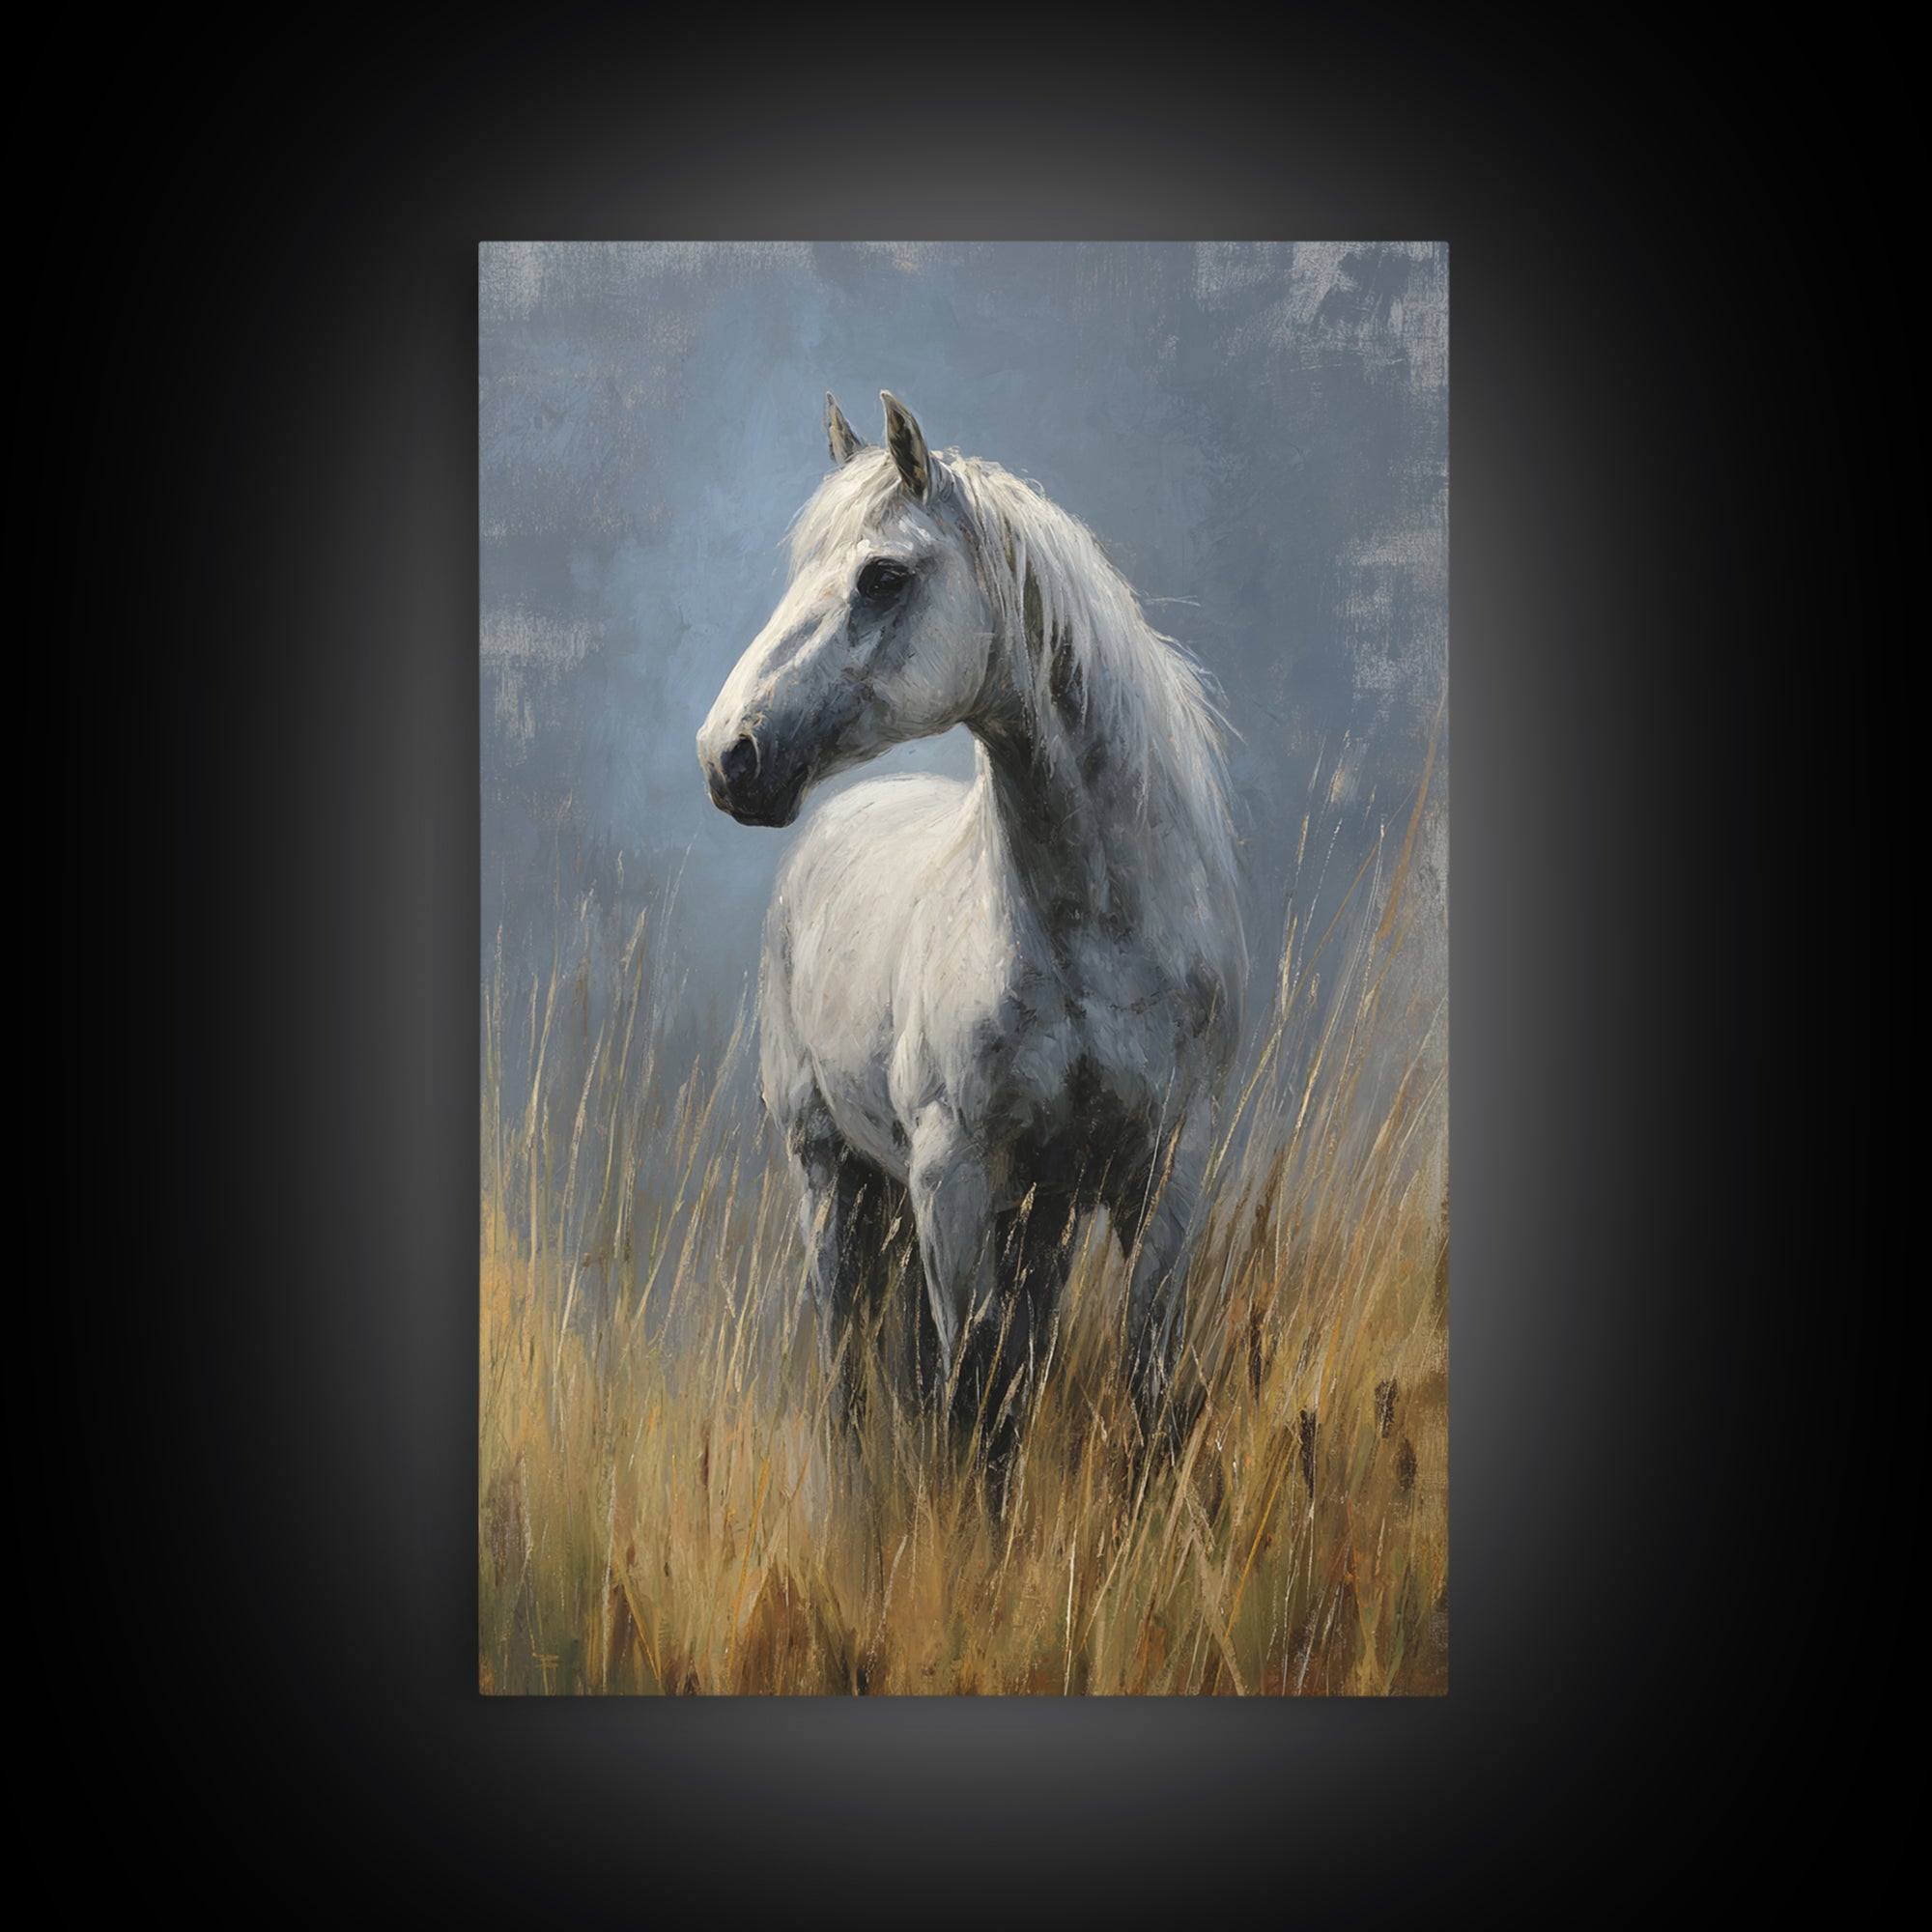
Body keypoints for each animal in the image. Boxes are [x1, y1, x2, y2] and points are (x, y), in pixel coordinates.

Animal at [697, 391, 1245, 1468]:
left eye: (883, 574)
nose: (728, 755)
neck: (1093, 933)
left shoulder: (1164, 1171)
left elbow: (1145, 1385)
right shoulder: (950, 1178)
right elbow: (975, 1403)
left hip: (1035, 1215)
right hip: (833, 1178)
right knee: (849, 1371)